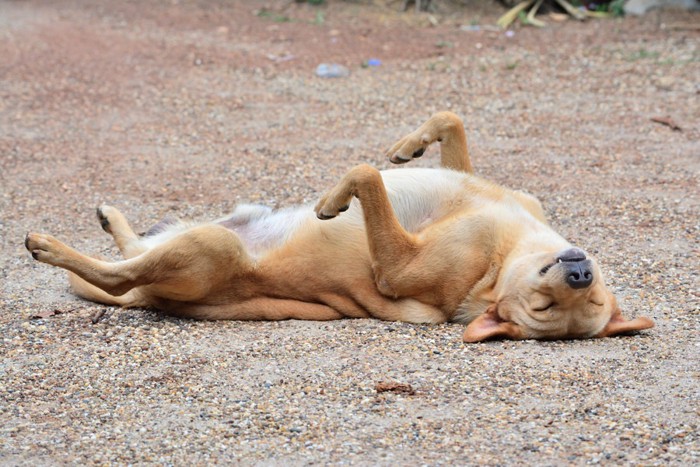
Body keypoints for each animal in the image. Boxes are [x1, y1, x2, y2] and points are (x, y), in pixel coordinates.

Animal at [24, 111, 652, 342]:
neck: (504, 257)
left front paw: (332, 203)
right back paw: (112, 218)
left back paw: (49, 246)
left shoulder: (399, 267)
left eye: (551, 312)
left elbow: (366, 175)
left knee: (117, 277)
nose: (579, 274)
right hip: (208, 223)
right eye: (597, 296)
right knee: (131, 253)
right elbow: (449, 123)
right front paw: (410, 144)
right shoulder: (477, 182)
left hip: (208, 244)